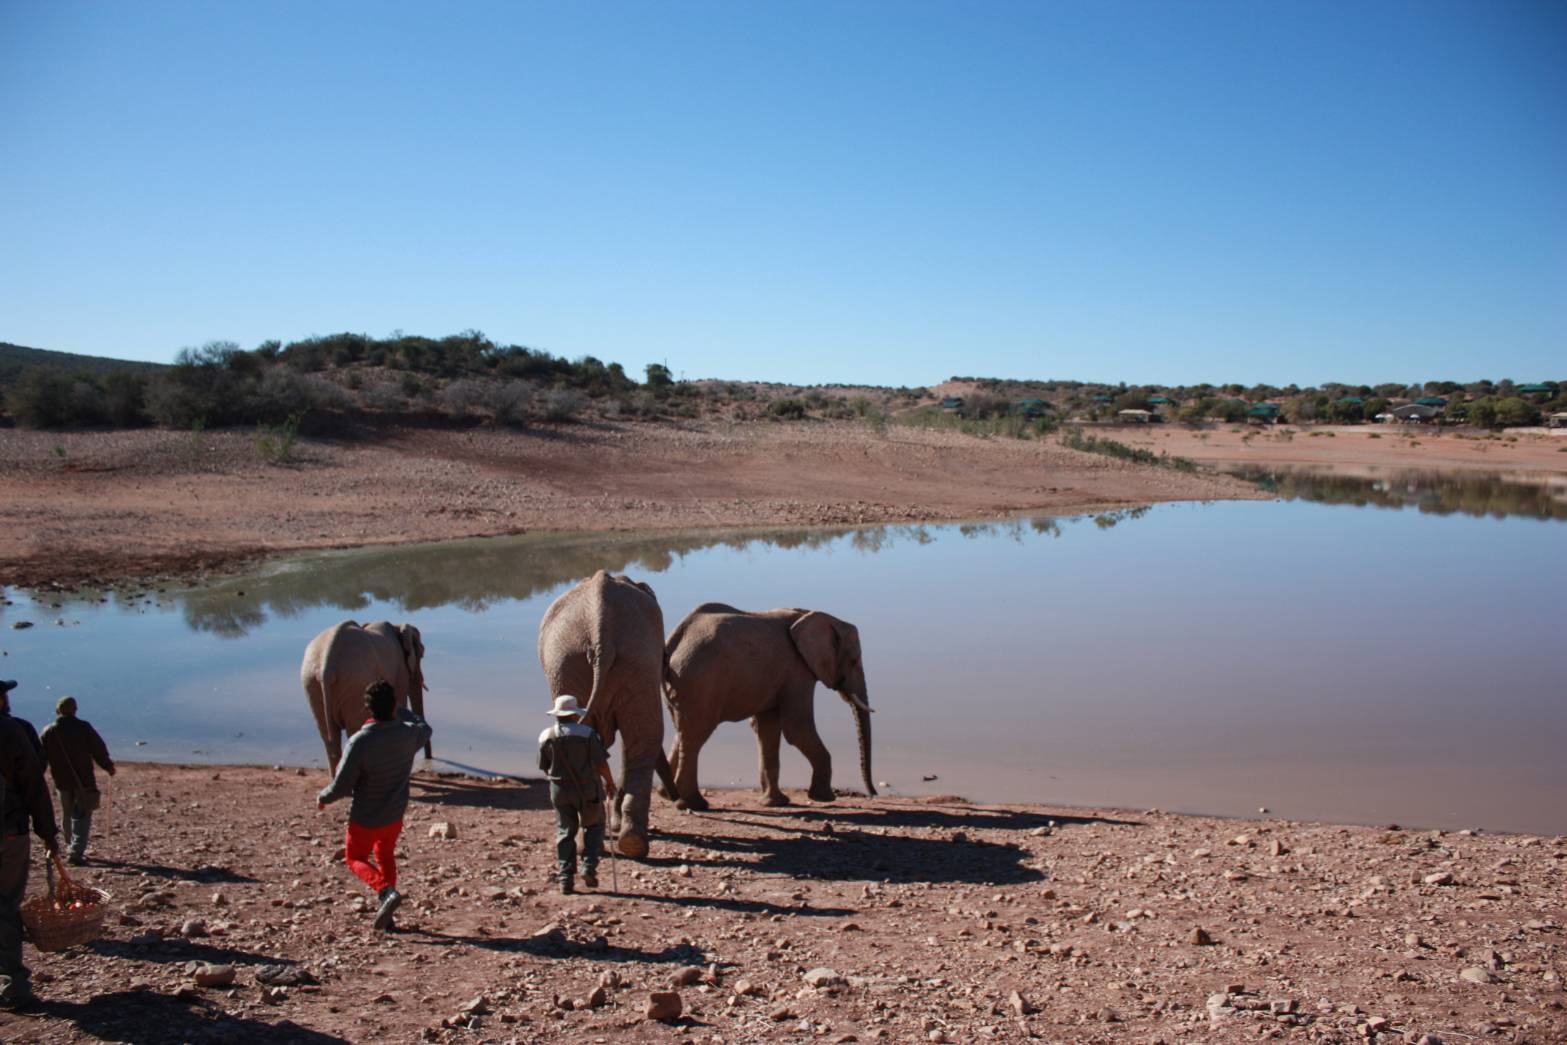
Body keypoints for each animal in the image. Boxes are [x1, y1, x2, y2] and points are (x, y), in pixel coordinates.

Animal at [302, 620, 435, 777]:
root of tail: (326, 667)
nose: (428, 761)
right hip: (354, 681)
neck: (397, 626)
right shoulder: (400, 670)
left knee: (329, 737)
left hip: (312, 682)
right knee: (352, 731)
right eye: (421, 654)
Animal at [535, 573, 670, 858]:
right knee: (641, 739)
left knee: (635, 739)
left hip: (592, 660)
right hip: (590, 660)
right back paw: (627, 843)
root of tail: (601, 630)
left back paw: (619, 843)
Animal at [661, 601, 877, 814]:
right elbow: (797, 728)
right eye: (854, 661)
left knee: (683, 731)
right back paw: (693, 804)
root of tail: (674, 640)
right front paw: (824, 798)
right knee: (695, 736)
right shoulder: (797, 670)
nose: (873, 794)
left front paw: (776, 802)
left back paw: (667, 795)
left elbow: (767, 728)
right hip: (700, 680)